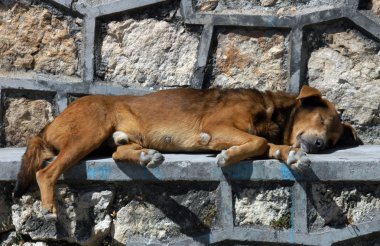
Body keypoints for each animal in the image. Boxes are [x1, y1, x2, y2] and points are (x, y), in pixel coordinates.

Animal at [12, 85, 362, 216]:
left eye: (333, 140)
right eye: (321, 119)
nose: (320, 146)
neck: (273, 110)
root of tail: (49, 125)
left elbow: (271, 145)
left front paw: (290, 154)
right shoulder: (217, 125)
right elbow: (260, 142)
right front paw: (228, 156)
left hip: (115, 137)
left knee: (117, 153)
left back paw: (146, 156)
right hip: (90, 130)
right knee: (47, 171)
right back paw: (49, 205)